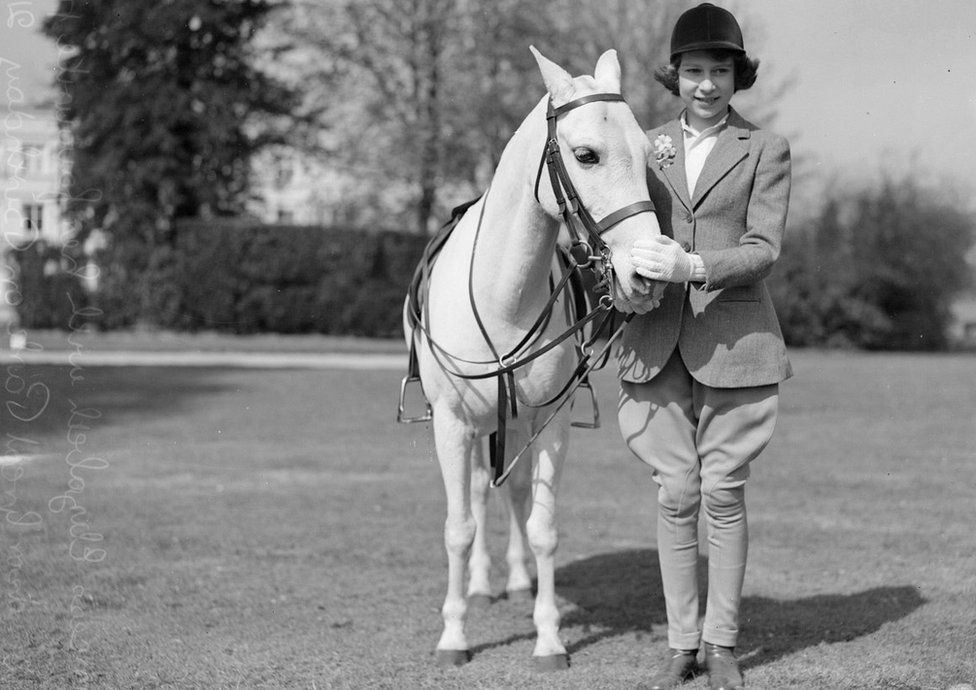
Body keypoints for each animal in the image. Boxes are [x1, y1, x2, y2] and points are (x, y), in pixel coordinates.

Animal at [400, 47, 660, 668]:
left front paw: (548, 638)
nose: (645, 275)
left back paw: (516, 580)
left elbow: (542, 526)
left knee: (513, 494)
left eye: (648, 158)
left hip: (515, 424)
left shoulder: (550, 422)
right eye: (586, 154)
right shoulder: (452, 424)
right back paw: (480, 584)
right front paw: (454, 636)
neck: (502, 298)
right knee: (476, 494)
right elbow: (459, 527)